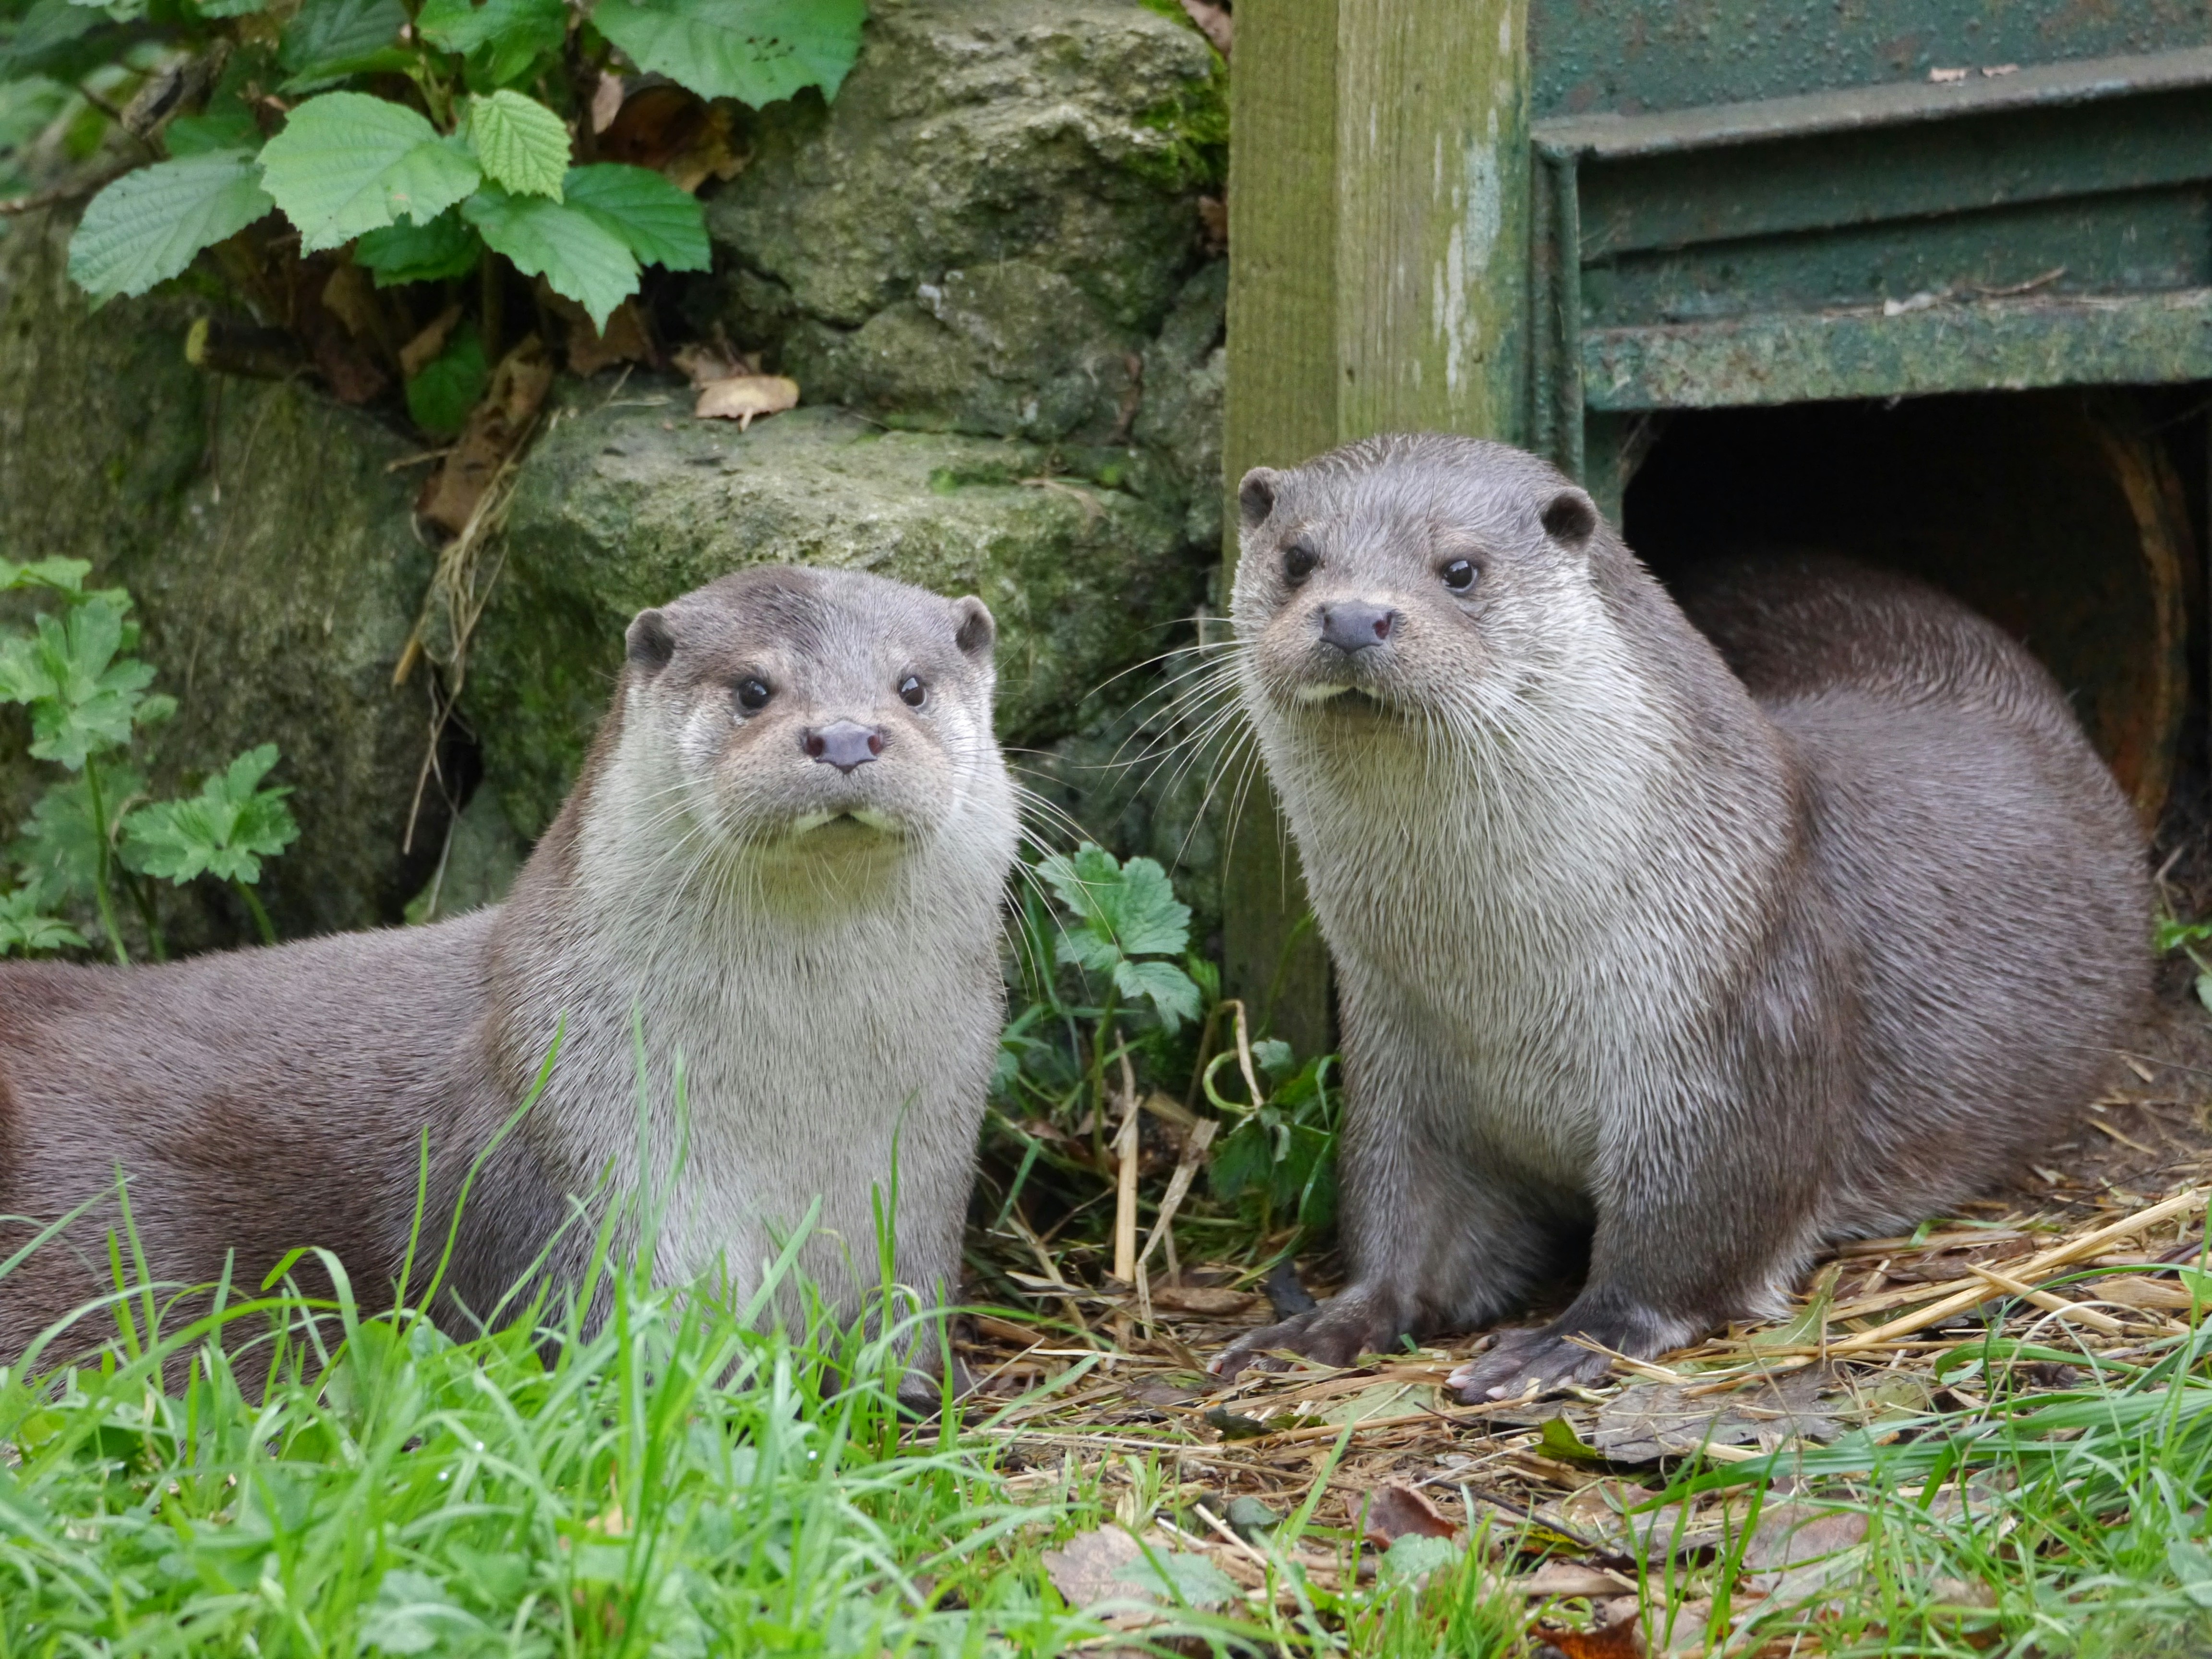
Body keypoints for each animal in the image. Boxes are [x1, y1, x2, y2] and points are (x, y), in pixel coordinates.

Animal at [0, 566, 1016, 1378]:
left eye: (912, 685)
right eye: (754, 688)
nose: (844, 737)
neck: (794, 1130)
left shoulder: (919, 1214)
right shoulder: (573, 1189)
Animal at [1213, 434, 2147, 1399]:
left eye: (1460, 569)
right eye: (1298, 559)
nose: (1354, 617)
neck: (1505, 996)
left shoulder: (1731, 1022)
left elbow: (1689, 1232)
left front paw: (1574, 1337)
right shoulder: (1398, 1053)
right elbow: (1402, 1220)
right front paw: (1322, 1325)